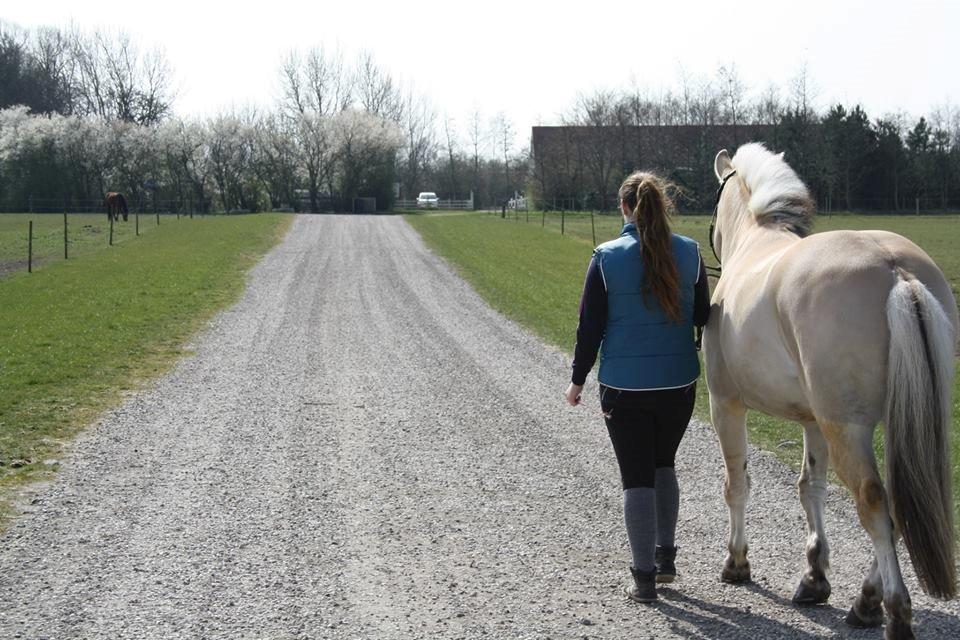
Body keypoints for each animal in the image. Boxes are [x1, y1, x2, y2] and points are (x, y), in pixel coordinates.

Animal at [700, 144, 956, 640]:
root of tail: (897, 272)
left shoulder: (725, 405)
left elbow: (737, 485)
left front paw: (736, 563)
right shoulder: (812, 420)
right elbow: (810, 488)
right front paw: (815, 577)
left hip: (848, 430)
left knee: (875, 504)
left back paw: (890, 610)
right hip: (899, 423)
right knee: (899, 503)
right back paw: (866, 600)